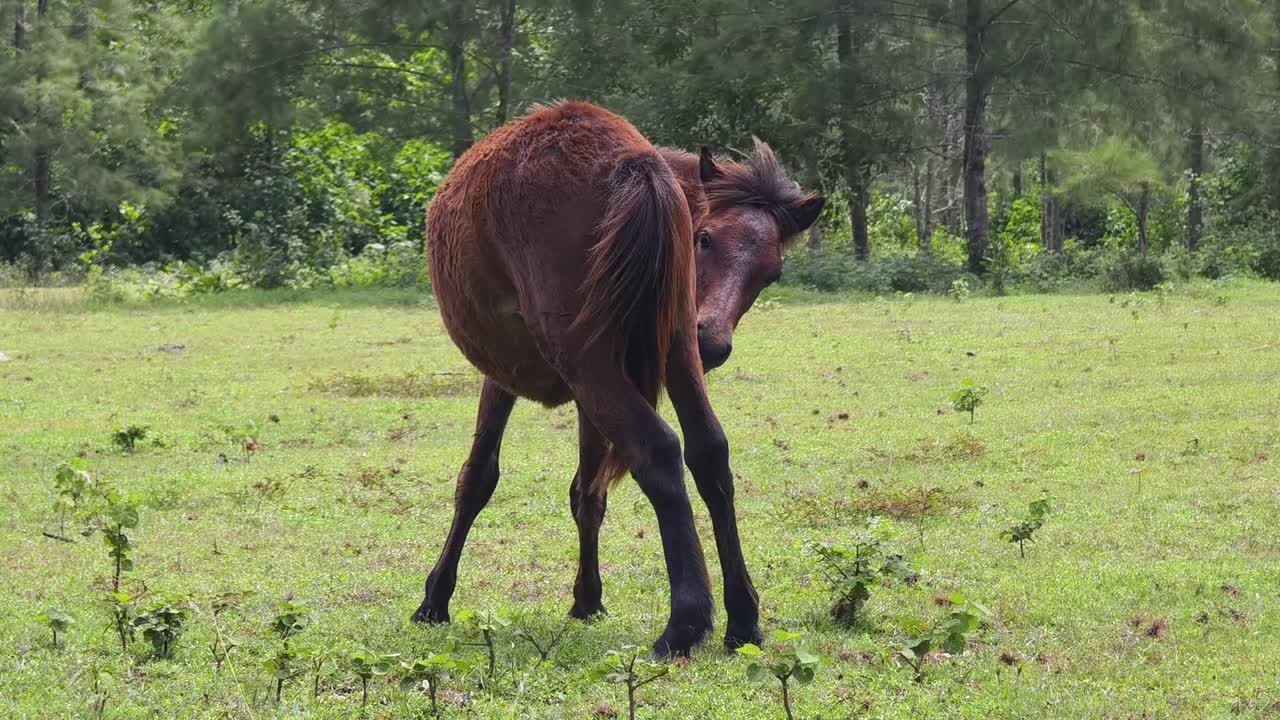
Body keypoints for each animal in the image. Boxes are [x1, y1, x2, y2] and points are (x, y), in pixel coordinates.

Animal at [414, 100, 824, 656]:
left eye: (771, 273)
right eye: (705, 239)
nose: (715, 343)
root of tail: (635, 168)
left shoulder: (508, 376)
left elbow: (478, 477)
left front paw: (435, 598)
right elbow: (587, 493)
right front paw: (587, 598)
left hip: (588, 361)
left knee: (659, 451)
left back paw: (685, 622)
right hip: (671, 350)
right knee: (709, 452)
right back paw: (742, 618)